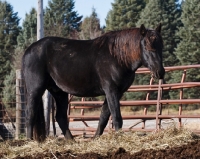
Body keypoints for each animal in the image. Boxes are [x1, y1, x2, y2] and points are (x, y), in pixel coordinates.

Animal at [22, 23, 165, 142]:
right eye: (146, 46)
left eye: (161, 46)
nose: (160, 72)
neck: (117, 56)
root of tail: (28, 51)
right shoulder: (111, 90)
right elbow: (116, 118)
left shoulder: (116, 92)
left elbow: (103, 117)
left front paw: (96, 138)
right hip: (36, 89)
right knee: (30, 114)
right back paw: (29, 141)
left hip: (59, 92)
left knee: (60, 117)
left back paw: (71, 141)